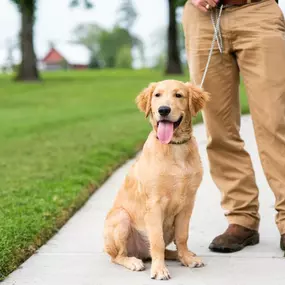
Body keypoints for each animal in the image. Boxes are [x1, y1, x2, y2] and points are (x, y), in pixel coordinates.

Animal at [103, 79, 207, 278]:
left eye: (178, 95)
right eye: (157, 95)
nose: (163, 110)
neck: (174, 147)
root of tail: (140, 253)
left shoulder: (188, 203)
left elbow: (183, 236)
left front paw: (186, 258)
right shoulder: (154, 204)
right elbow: (157, 241)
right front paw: (159, 270)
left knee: (161, 249)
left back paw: (182, 255)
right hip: (121, 218)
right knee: (119, 256)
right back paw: (133, 262)